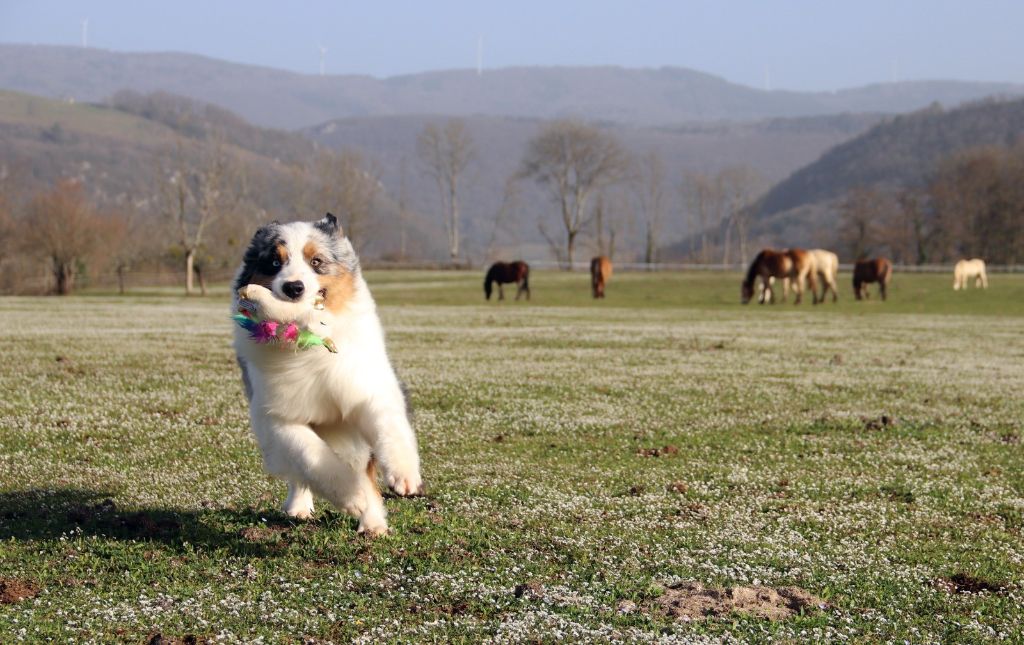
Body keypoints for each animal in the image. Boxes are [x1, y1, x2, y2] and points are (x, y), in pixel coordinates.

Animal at [234, 211, 421, 536]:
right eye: (274, 262)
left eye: (316, 261)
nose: (294, 288)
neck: (311, 343)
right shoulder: (276, 417)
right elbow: (309, 455)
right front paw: (351, 497)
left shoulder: (365, 387)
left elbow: (388, 423)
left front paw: (404, 474)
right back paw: (302, 506)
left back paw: (373, 523)